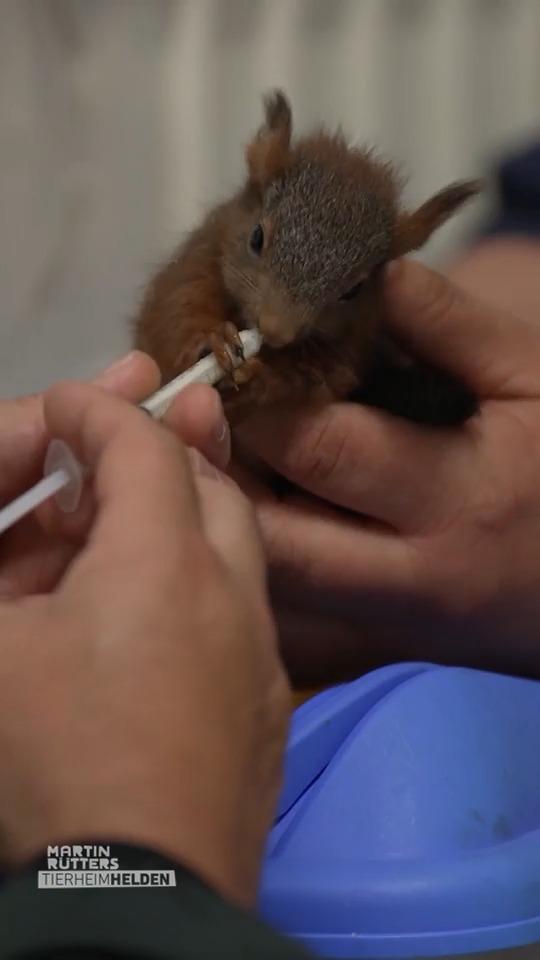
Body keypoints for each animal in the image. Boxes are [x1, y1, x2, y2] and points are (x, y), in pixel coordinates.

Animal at [134, 90, 481, 426]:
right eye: (256, 237)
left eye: (354, 290)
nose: (275, 331)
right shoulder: (196, 265)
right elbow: (173, 315)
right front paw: (212, 336)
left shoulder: (350, 349)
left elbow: (320, 378)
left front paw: (264, 380)